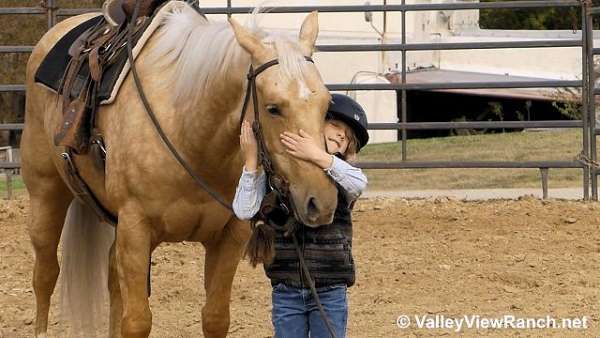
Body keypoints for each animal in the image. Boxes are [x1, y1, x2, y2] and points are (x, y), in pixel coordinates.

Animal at [21, 1, 340, 336]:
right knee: (45, 273)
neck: (188, 132)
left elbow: (215, 318)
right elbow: (136, 322)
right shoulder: (135, 229)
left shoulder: (230, 235)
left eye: (326, 103)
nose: (321, 202)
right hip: (46, 194)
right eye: (273, 108)